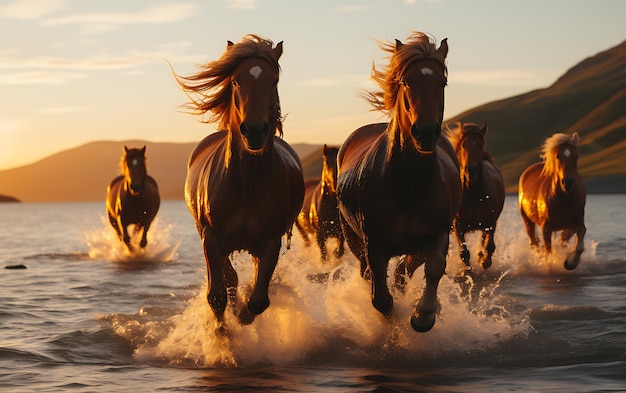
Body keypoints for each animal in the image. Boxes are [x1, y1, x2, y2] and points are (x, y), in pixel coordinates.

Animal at [173, 35, 304, 326]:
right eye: (235, 81)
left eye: (273, 81)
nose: (254, 131)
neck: (246, 184)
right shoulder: (211, 238)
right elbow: (217, 296)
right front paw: (223, 334)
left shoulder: (270, 242)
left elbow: (257, 300)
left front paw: (243, 315)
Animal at [336, 32, 458, 330]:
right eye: (406, 81)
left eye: (442, 81)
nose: (425, 133)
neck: (408, 186)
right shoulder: (373, 244)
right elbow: (381, 298)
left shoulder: (437, 234)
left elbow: (434, 267)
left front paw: (423, 315)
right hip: (352, 236)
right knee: (368, 272)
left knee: (404, 271)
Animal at [446, 121, 504, 272]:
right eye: (463, 145)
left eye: (480, 145)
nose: (470, 170)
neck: (472, 193)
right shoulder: (458, 225)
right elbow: (464, 252)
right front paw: (466, 271)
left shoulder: (490, 223)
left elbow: (489, 245)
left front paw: (484, 261)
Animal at [516, 132, 584, 270]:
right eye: (558, 156)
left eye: (576, 156)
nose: (568, 182)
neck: (565, 199)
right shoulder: (546, 228)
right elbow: (548, 251)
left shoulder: (577, 222)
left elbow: (578, 246)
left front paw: (569, 263)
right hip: (527, 220)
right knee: (533, 242)